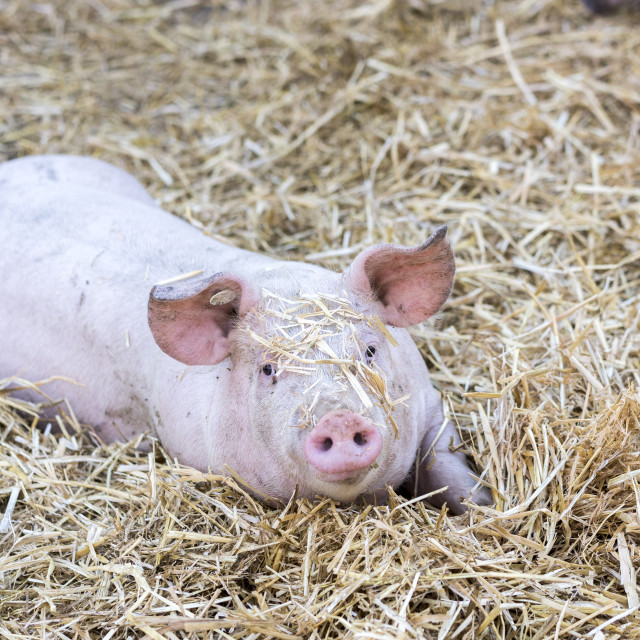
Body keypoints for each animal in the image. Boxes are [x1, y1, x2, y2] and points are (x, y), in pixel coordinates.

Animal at [0, 155, 490, 516]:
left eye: (369, 350)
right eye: (268, 369)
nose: (338, 418)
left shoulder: (432, 404)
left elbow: (447, 466)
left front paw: (482, 507)